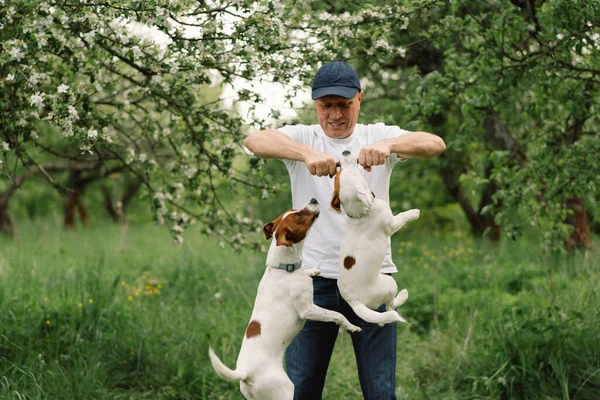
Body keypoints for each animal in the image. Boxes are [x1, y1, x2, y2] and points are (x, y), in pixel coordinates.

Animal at [210, 198, 360, 398]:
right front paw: (352, 326)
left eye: (293, 210)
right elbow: (337, 315)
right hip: (285, 390)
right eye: (299, 217)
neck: (284, 268)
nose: (313, 199)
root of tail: (244, 373)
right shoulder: (307, 309)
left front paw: (312, 270)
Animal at [330, 152, 420, 326]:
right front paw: (413, 213)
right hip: (389, 284)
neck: (361, 213)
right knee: (390, 307)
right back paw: (403, 295)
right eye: (354, 172)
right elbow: (402, 217)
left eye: (338, 176)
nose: (345, 152)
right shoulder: (391, 223)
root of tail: (355, 302)